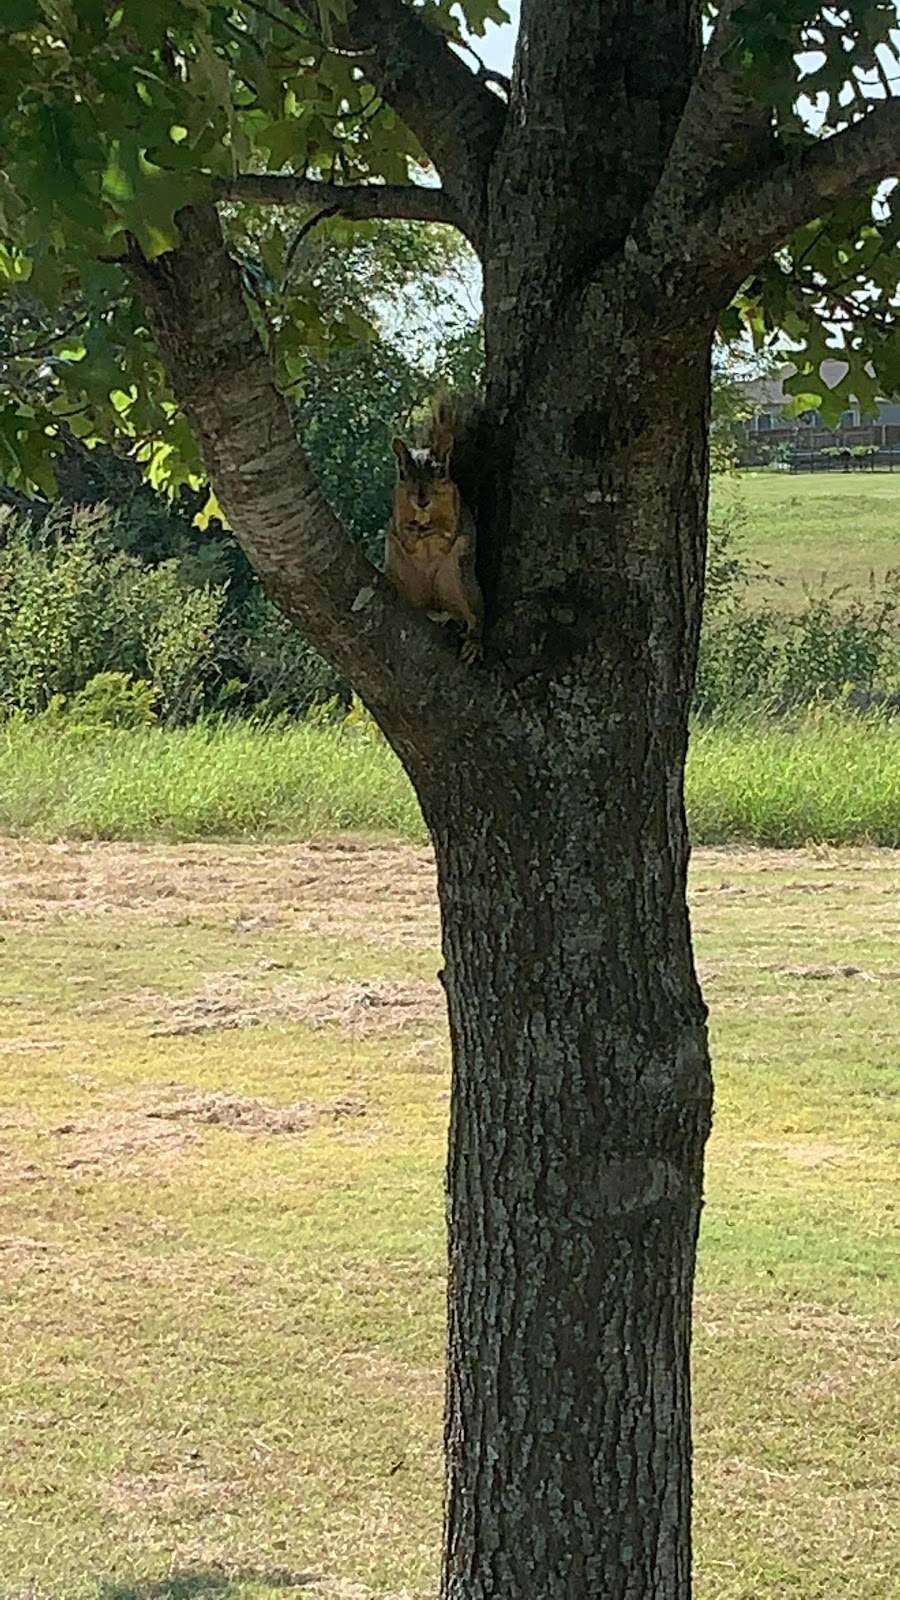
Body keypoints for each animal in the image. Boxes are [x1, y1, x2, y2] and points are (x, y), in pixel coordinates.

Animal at [384, 393, 485, 665]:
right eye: (403, 473)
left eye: (439, 471)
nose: (422, 499)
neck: (423, 515)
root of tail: (435, 601)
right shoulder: (396, 512)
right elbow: (403, 534)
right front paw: (413, 532)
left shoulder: (456, 513)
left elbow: (447, 534)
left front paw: (432, 532)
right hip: (402, 576)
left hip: (461, 580)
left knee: (474, 614)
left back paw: (474, 640)